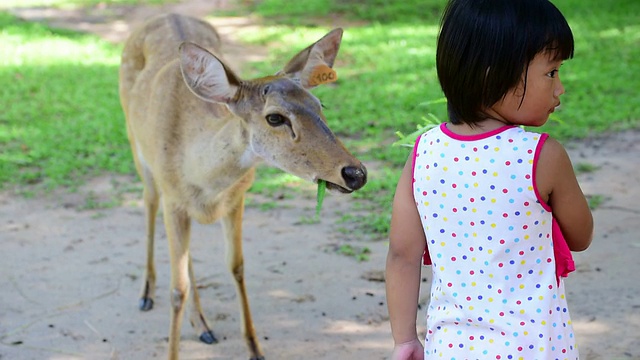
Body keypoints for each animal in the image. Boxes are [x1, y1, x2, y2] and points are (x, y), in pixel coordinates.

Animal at [118, 12, 368, 358]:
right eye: (275, 118)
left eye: (320, 105)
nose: (355, 173)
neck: (202, 181)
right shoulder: (173, 198)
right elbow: (177, 289)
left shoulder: (237, 197)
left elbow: (236, 266)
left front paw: (254, 347)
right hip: (136, 145)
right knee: (148, 202)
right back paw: (146, 294)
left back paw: (203, 326)